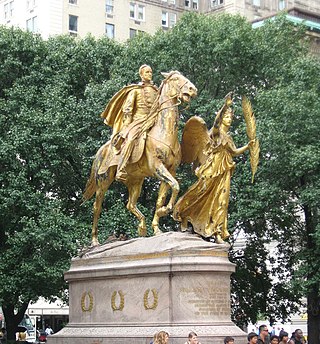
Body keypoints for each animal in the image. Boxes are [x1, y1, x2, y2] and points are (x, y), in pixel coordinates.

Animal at [84, 71, 196, 246]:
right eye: (176, 78)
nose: (193, 89)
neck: (164, 132)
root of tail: (100, 151)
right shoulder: (158, 167)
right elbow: (176, 186)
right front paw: (165, 211)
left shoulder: (169, 171)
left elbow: (164, 196)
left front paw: (157, 226)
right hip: (103, 181)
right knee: (97, 207)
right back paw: (95, 241)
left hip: (135, 181)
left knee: (130, 204)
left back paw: (142, 227)